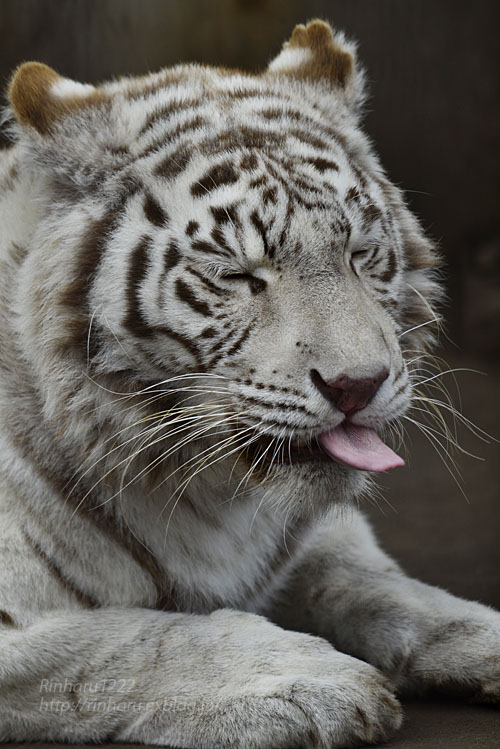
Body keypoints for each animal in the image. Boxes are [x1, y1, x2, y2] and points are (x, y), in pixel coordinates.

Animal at [0, 19, 500, 748]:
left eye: (359, 254)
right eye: (237, 276)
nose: (358, 385)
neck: (206, 496)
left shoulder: (312, 539)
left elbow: (380, 582)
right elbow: (138, 640)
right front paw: (313, 681)